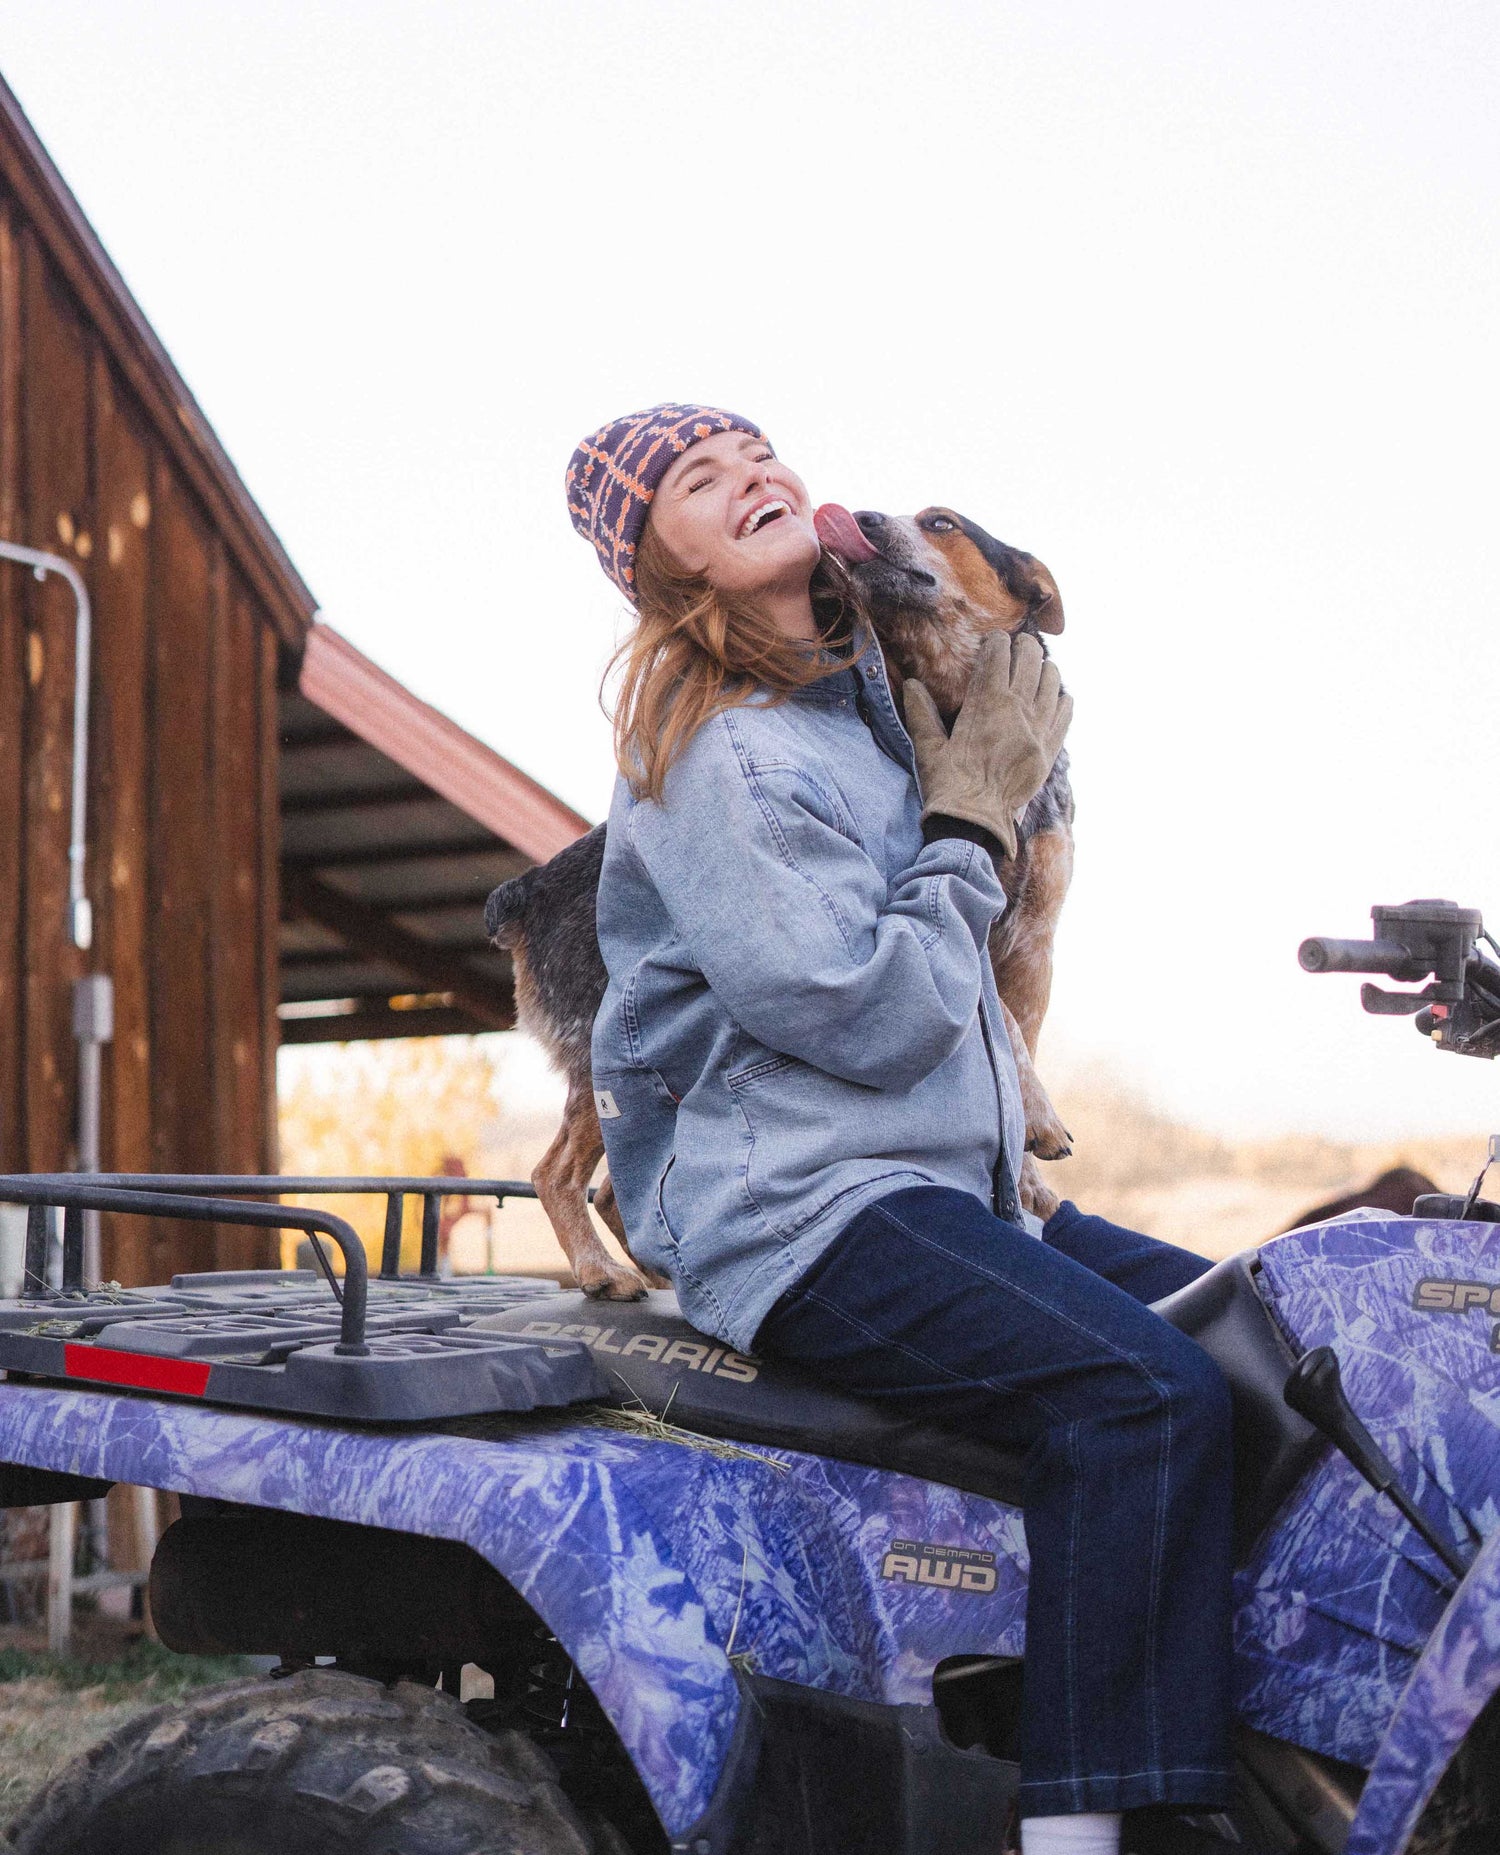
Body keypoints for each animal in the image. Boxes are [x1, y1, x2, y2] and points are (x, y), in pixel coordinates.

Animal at [493, 500, 1075, 1298]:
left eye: (941, 521)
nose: (859, 515)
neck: (954, 702)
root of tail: (529, 889)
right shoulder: (970, 925)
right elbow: (1006, 1034)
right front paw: (1041, 1125)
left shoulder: (1037, 941)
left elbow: (1018, 1046)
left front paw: (1030, 1165)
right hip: (601, 1052)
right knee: (555, 1171)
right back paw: (599, 1271)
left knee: (616, 1190)